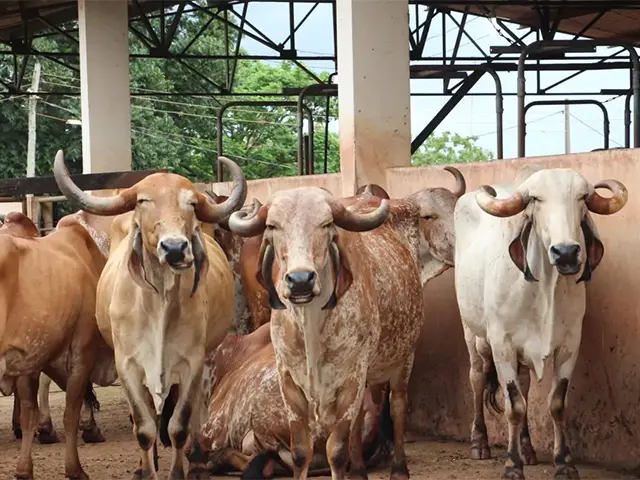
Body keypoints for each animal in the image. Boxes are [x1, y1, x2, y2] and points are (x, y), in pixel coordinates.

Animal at [0, 202, 117, 476]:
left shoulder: (29, 356)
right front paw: (75, 467)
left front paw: (24, 469)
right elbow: (71, 408)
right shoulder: (83, 349)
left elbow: (29, 411)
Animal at [53, 152, 248, 478]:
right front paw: (147, 468)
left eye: (191, 204)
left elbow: (179, 426)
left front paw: (179, 471)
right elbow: (144, 428)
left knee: (194, 414)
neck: (160, 305)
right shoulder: (127, 366)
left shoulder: (192, 363)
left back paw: (196, 460)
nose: (175, 248)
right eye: (143, 201)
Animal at [456, 166, 632, 480]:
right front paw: (512, 466)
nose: (566, 252)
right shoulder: (502, 345)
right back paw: (479, 443)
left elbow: (556, 403)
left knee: (525, 385)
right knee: (477, 378)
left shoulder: (570, 344)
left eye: (582, 198)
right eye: (536, 199)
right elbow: (514, 405)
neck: (544, 290)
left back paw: (528, 449)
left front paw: (564, 463)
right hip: (472, 334)